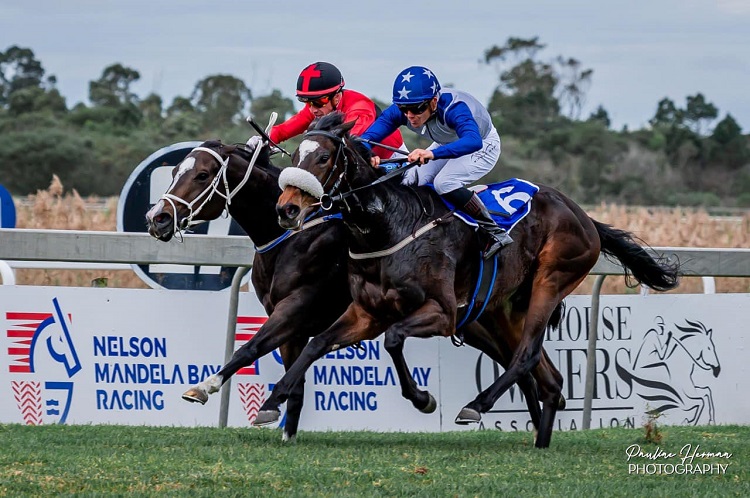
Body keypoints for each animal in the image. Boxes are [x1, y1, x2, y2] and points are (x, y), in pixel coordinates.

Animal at [142, 139, 550, 439]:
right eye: (175, 171)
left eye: (202, 175)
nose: (157, 219)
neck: (295, 237)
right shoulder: (293, 320)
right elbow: (295, 380)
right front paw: (285, 431)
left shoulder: (298, 306)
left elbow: (251, 347)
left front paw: (205, 387)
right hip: (477, 321)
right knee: (531, 371)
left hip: (473, 319)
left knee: (527, 366)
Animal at [261, 112, 680, 448]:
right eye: (295, 156)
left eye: (323, 157)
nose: (286, 209)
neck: (388, 226)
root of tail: (584, 216)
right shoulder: (367, 312)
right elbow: (317, 344)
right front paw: (272, 400)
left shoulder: (443, 312)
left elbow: (394, 339)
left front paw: (423, 399)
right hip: (504, 309)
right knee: (551, 378)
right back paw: (540, 443)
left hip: (551, 280)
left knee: (525, 356)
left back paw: (477, 405)